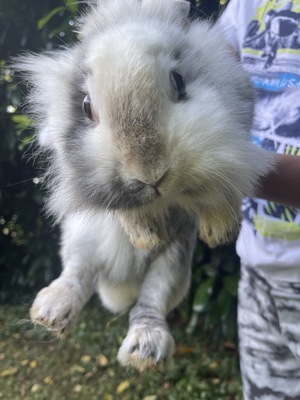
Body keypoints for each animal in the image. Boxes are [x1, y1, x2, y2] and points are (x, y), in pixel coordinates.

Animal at [16, 0, 274, 370]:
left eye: (179, 81)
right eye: (86, 106)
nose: (150, 173)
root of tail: (120, 284)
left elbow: (221, 185)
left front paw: (220, 230)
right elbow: (124, 208)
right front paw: (144, 234)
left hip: (175, 260)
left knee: (151, 300)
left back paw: (144, 350)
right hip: (82, 239)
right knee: (78, 273)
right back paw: (50, 312)